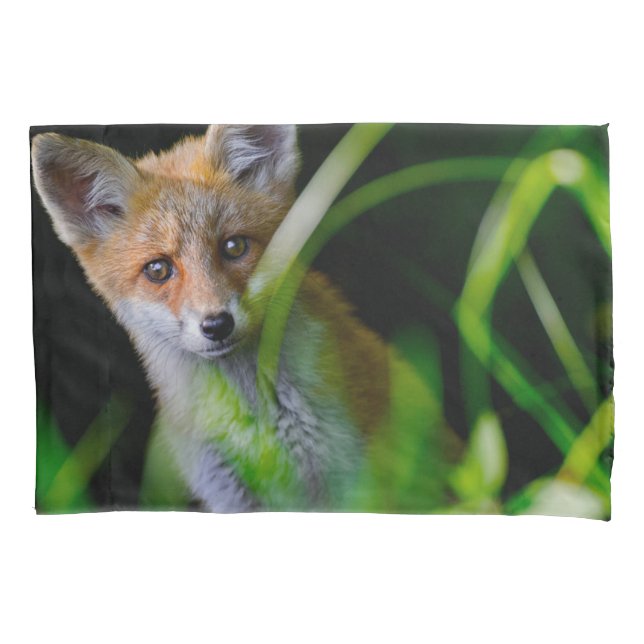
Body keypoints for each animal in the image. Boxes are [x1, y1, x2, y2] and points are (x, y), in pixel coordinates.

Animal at [31, 125, 444, 512]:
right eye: (158, 270)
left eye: (234, 247)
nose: (216, 325)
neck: (253, 422)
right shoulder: (227, 492)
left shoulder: (353, 479)